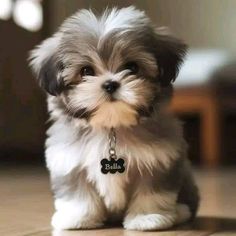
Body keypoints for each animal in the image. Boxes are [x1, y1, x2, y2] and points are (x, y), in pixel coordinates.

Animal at [29, 6, 199, 231]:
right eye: (86, 71)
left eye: (132, 67)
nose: (110, 84)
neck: (111, 126)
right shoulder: (70, 160)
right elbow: (78, 194)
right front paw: (78, 218)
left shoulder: (158, 160)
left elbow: (152, 191)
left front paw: (148, 218)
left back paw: (179, 212)